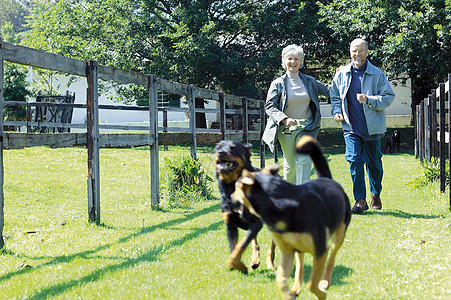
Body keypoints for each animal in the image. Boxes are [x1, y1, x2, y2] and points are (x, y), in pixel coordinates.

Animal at [215, 139, 276, 274]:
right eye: (218, 147)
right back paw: (255, 261)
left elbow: (241, 245)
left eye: (234, 148)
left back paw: (270, 264)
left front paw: (238, 265)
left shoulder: (256, 222)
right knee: (255, 243)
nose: (221, 153)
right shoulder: (230, 224)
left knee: (273, 246)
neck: (232, 187)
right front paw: (236, 265)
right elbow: (235, 247)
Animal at [233, 137, 354, 300]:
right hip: (299, 248)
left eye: (236, 188)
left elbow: (312, 283)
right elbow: (281, 278)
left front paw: (321, 293)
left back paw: (325, 281)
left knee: (332, 258)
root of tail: (327, 180)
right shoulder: (288, 251)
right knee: (300, 266)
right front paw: (289, 293)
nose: (239, 215)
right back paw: (296, 287)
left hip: (339, 235)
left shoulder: (321, 250)